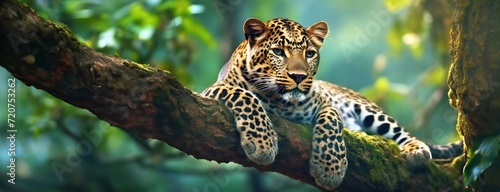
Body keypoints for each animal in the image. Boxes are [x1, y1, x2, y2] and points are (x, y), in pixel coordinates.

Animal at [201, 18, 462, 190]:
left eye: (309, 53)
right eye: (278, 52)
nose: (299, 77)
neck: (279, 101)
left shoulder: (326, 102)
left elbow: (332, 122)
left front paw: (330, 169)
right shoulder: (212, 90)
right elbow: (245, 97)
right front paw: (262, 143)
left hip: (369, 110)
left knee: (400, 132)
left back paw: (416, 150)